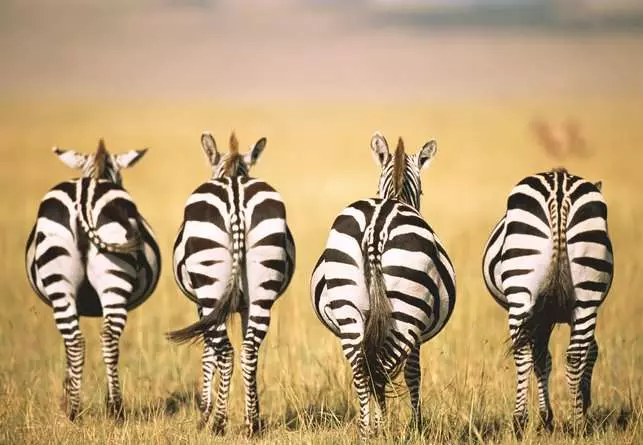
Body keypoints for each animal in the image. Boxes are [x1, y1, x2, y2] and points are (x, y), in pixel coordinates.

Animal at [25, 139, 161, 420]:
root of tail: (85, 194)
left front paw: (68, 394)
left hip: (73, 281)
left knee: (89, 340)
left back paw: (94, 409)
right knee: (96, 339)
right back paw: (96, 408)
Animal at [167, 131, 295, 436]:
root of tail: (235, 194)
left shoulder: (202, 307)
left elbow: (207, 354)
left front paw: (204, 414)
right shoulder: (245, 306)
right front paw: (251, 413)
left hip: (210, 287)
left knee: (225, 352)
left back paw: (217, 423)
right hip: (262, 287)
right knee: (249, 351)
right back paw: (253, 425)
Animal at [310, 132, 456, 439]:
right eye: (423, 193)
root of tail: (377, 225)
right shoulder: (416, 337)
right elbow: (413, 375)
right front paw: (417, 426)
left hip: (348, 307)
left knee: (362, 369)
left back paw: (366, 430)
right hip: (406, 313)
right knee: (381, 370)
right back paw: (381, 428)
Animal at [482, 167, 613, 435]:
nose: (587, 402)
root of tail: (559, 187)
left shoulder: (543, 317)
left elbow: (543, 358)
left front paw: (547, 416)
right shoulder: (549, 315)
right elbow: (578, 352)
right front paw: (560, 411)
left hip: (523, 293)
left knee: (524, 353)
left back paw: (520, 420)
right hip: (585, 295)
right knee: (574, 354)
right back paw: (576, 424)